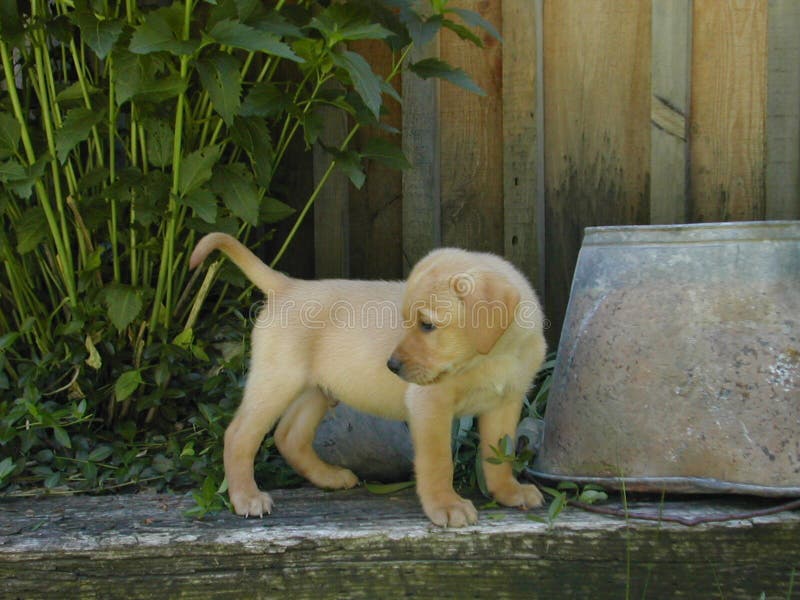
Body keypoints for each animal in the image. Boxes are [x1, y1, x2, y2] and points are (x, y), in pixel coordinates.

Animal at [191, 232, 548, 528]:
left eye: (427, 325)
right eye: (407, 321)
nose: (391, 365)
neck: (492, 356)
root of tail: (288, 286)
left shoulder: (505, 403)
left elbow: (500, 456)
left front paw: (509, 492)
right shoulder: (430, 405)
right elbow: (438, 463)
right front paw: (446, 505)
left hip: (318, 389)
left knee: (289, 436)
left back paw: (328, 477)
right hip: (276, 381)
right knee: (239, 435)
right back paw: (246, 497)